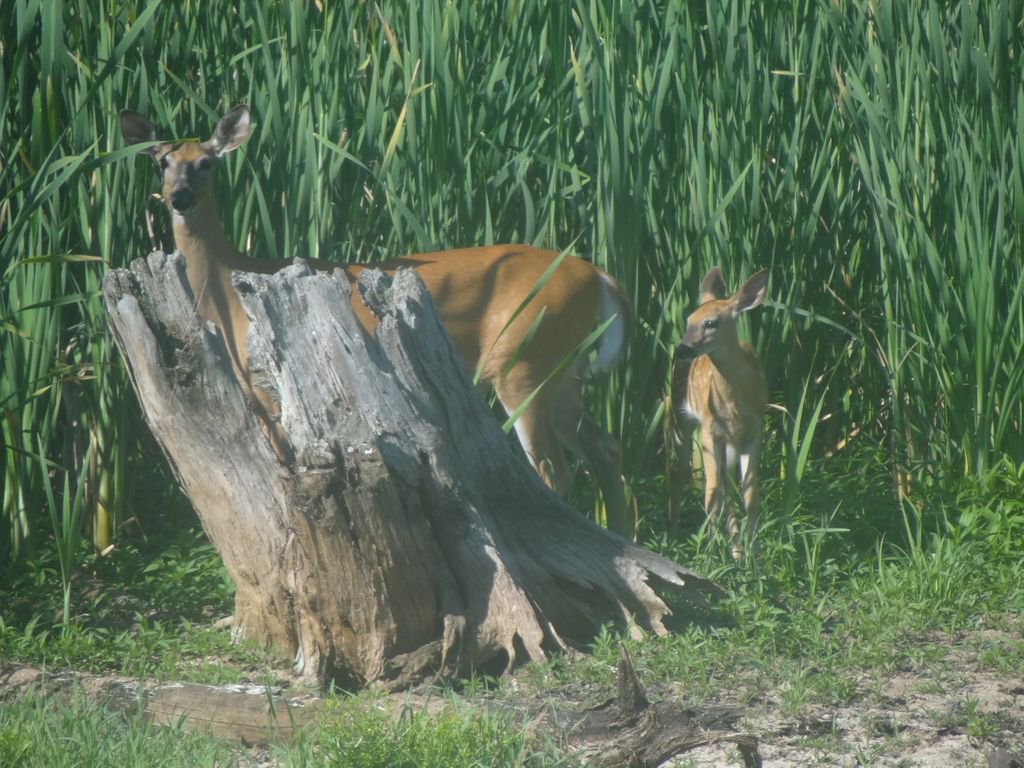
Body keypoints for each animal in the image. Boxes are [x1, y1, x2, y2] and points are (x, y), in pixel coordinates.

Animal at [119, 105, 630, 536]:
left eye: (207, 163)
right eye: (162, 162)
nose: (180, 197)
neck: (227, 293)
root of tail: (600, 276)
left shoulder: (268, 391)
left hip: (524, 361)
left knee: (553, 469)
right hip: (562, 370)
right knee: (605, 448)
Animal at [671, 268, 770, 561]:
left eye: (711, 322)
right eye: (689, 320)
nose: (682, 348)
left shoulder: (754, 429)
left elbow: (750, 495)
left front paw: (756, 560)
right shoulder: (709, 428)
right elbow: (710, 493)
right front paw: (711, 558)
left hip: (727, 441)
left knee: (726, 487)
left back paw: (737, 552)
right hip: (682, 417)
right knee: (680, 475)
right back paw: (674, 533)